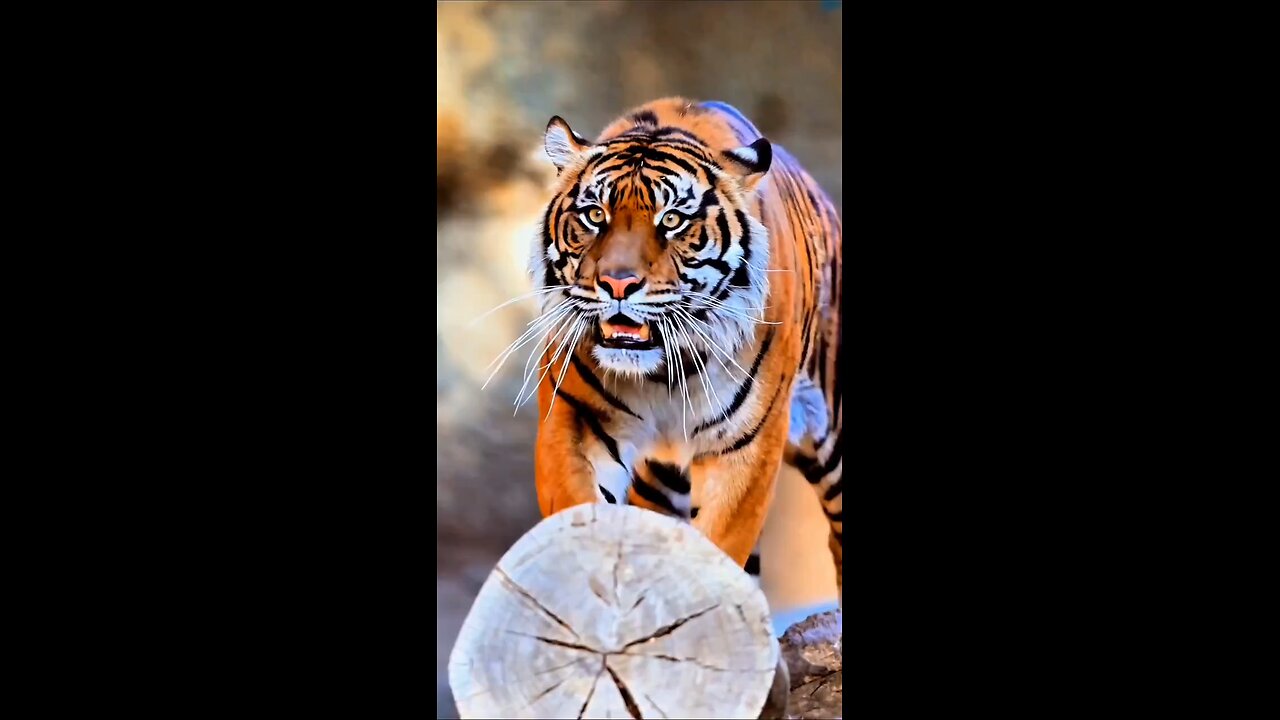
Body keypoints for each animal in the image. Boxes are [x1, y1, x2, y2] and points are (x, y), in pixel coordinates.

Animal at [522, 97, 842, 601]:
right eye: (595, 215)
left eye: (671, 220)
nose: (617, 283)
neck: (664, 375)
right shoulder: (577, 419)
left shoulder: (745, 445)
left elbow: (721, 547)